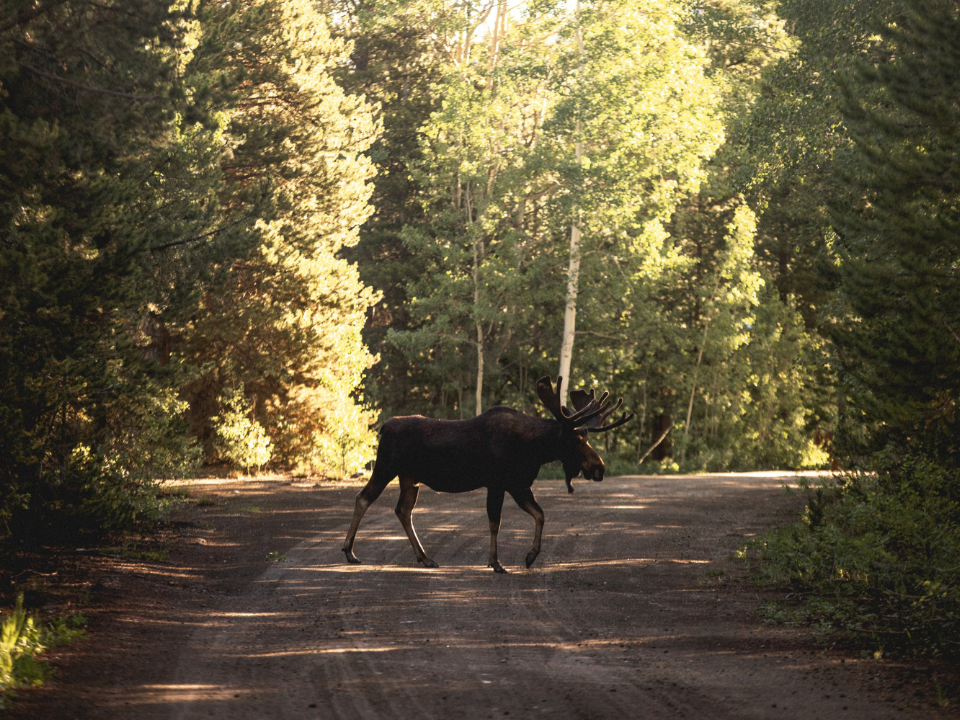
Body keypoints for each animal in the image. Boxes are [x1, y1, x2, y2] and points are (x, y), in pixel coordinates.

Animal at [342, 376, 632, 572]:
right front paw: (496, 562)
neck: (533, 450)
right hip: (386, 467)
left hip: (410, 479)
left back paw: (425, 557)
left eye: (586, 437)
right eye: (575, 440)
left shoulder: (518, 484)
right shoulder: (498, 482)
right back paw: (349, 551)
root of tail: (384, 427)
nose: (599, 467)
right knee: (363, 498)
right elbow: (495, 522)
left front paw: (530, 556)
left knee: (402, 510)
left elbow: (540, 515)